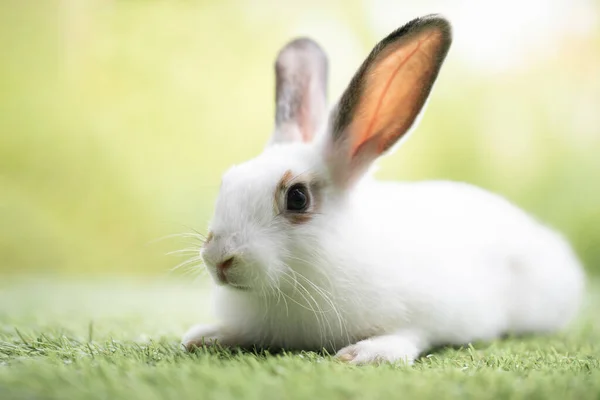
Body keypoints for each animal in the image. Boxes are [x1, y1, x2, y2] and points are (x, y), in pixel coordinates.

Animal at [183, 15, 584, 364]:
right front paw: (205, 336)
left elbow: (410, 335)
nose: (219, 258)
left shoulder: (427, 314)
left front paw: (366, 354)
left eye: (297, 197)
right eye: (227, 180)